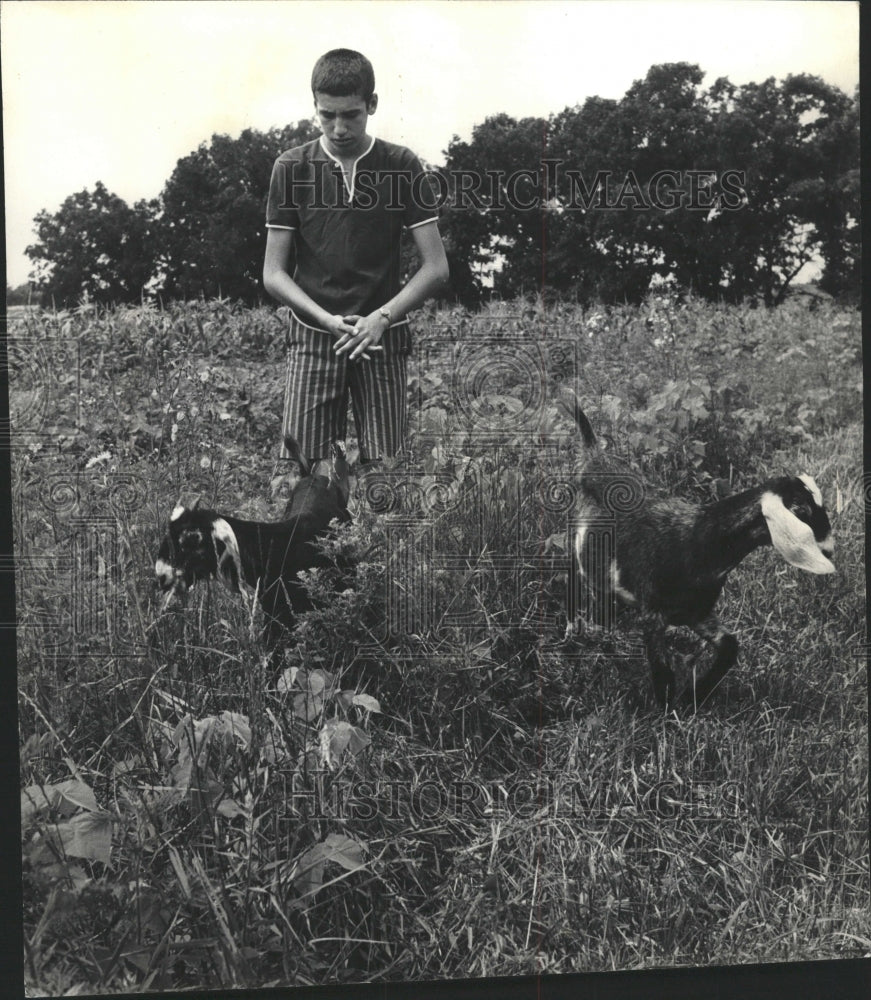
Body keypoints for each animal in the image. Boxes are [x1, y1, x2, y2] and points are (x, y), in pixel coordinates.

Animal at [564, 390, 836, 712]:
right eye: (800, 511)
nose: (830, 549)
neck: (697, 540)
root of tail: (594, 456)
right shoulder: (653, 613)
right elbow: (663, 671)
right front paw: (666, 712)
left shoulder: (697, 611)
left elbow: (730, 646)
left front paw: (695, 696)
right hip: (579, 545)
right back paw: (574, 632)